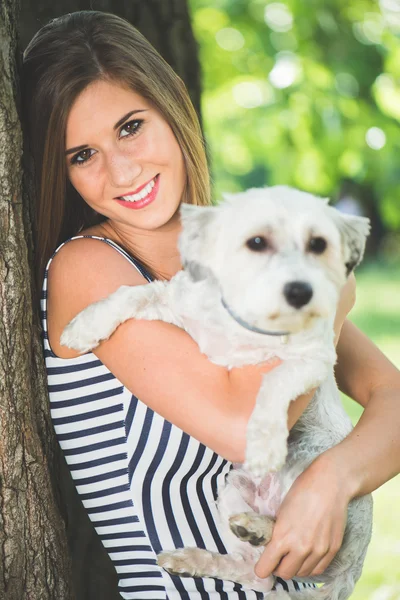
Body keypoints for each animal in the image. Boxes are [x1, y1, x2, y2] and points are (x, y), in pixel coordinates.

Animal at [61, 188, 372, 600]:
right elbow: (131, 293)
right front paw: (84, 326)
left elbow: (275, 381)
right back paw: (201, 556)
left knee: (288, 535)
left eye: (317, 244)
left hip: (314, 478)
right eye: (257, 241)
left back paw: (260, 528)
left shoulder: (313, 358)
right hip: (231, 491)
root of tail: (353, 568)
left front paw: (264, 440)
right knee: (258, 572)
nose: (299, 290)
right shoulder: (181, 310)